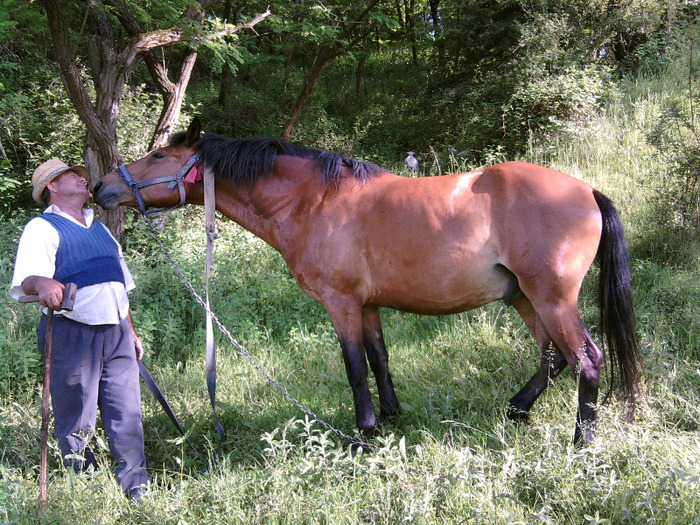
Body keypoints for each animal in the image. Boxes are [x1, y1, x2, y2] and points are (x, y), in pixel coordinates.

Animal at [95, 117, 644, 442]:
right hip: (525, 299)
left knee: (587, 360)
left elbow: (355, 365)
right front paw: (392, 414)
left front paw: (364, 430)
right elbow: (380, 359)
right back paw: (517, 409)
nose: (102, 187)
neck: (313, 201)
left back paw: (582, 440)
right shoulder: (369, 304)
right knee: (553, 358)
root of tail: (586, 191)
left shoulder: (340, 302)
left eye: (159, 157)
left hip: (551, 299)